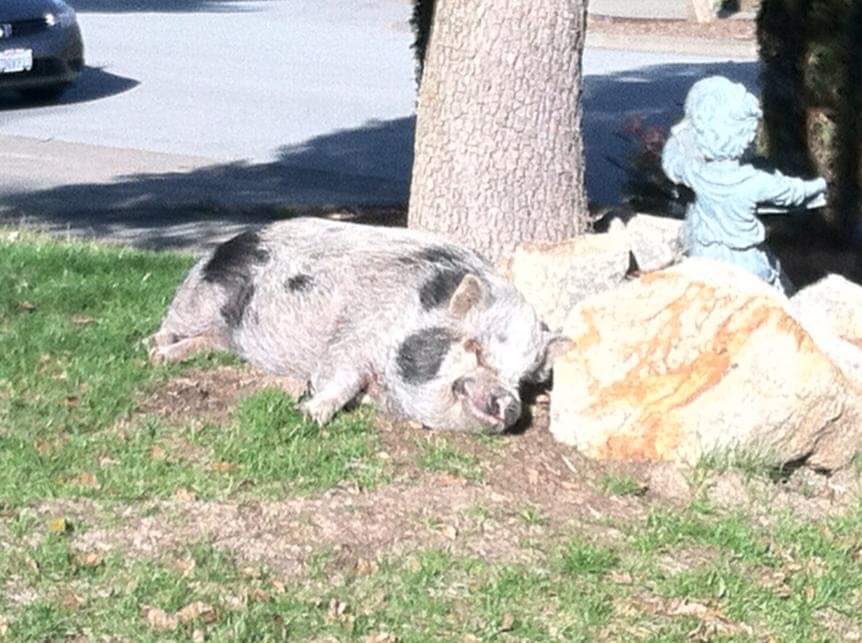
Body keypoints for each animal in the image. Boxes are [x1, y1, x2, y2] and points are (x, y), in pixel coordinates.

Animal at [149, 218, 568, 433]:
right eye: (475, 348)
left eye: (523, 381)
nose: (509, 404)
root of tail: (225, 244)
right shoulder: (353, 336)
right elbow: (340, 377)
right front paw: (308, 413)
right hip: (202, 297)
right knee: (173, 323)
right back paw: (153, 349)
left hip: (220, 334)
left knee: (210, 343)